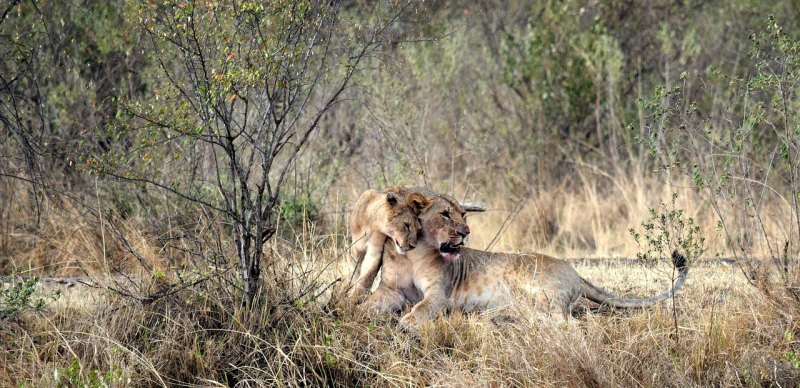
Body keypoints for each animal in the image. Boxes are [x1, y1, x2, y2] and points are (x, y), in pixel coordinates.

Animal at [366, 194, 692, 328]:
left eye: (464, 215)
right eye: (446, 214)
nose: (466, 232)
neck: (415, 252)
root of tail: (574, 270)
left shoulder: (439, 294)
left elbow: (422, 307)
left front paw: (407, 323)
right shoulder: (391, 290)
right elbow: (368, 303)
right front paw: (354, 309)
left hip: (532, 286)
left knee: (564, 321)